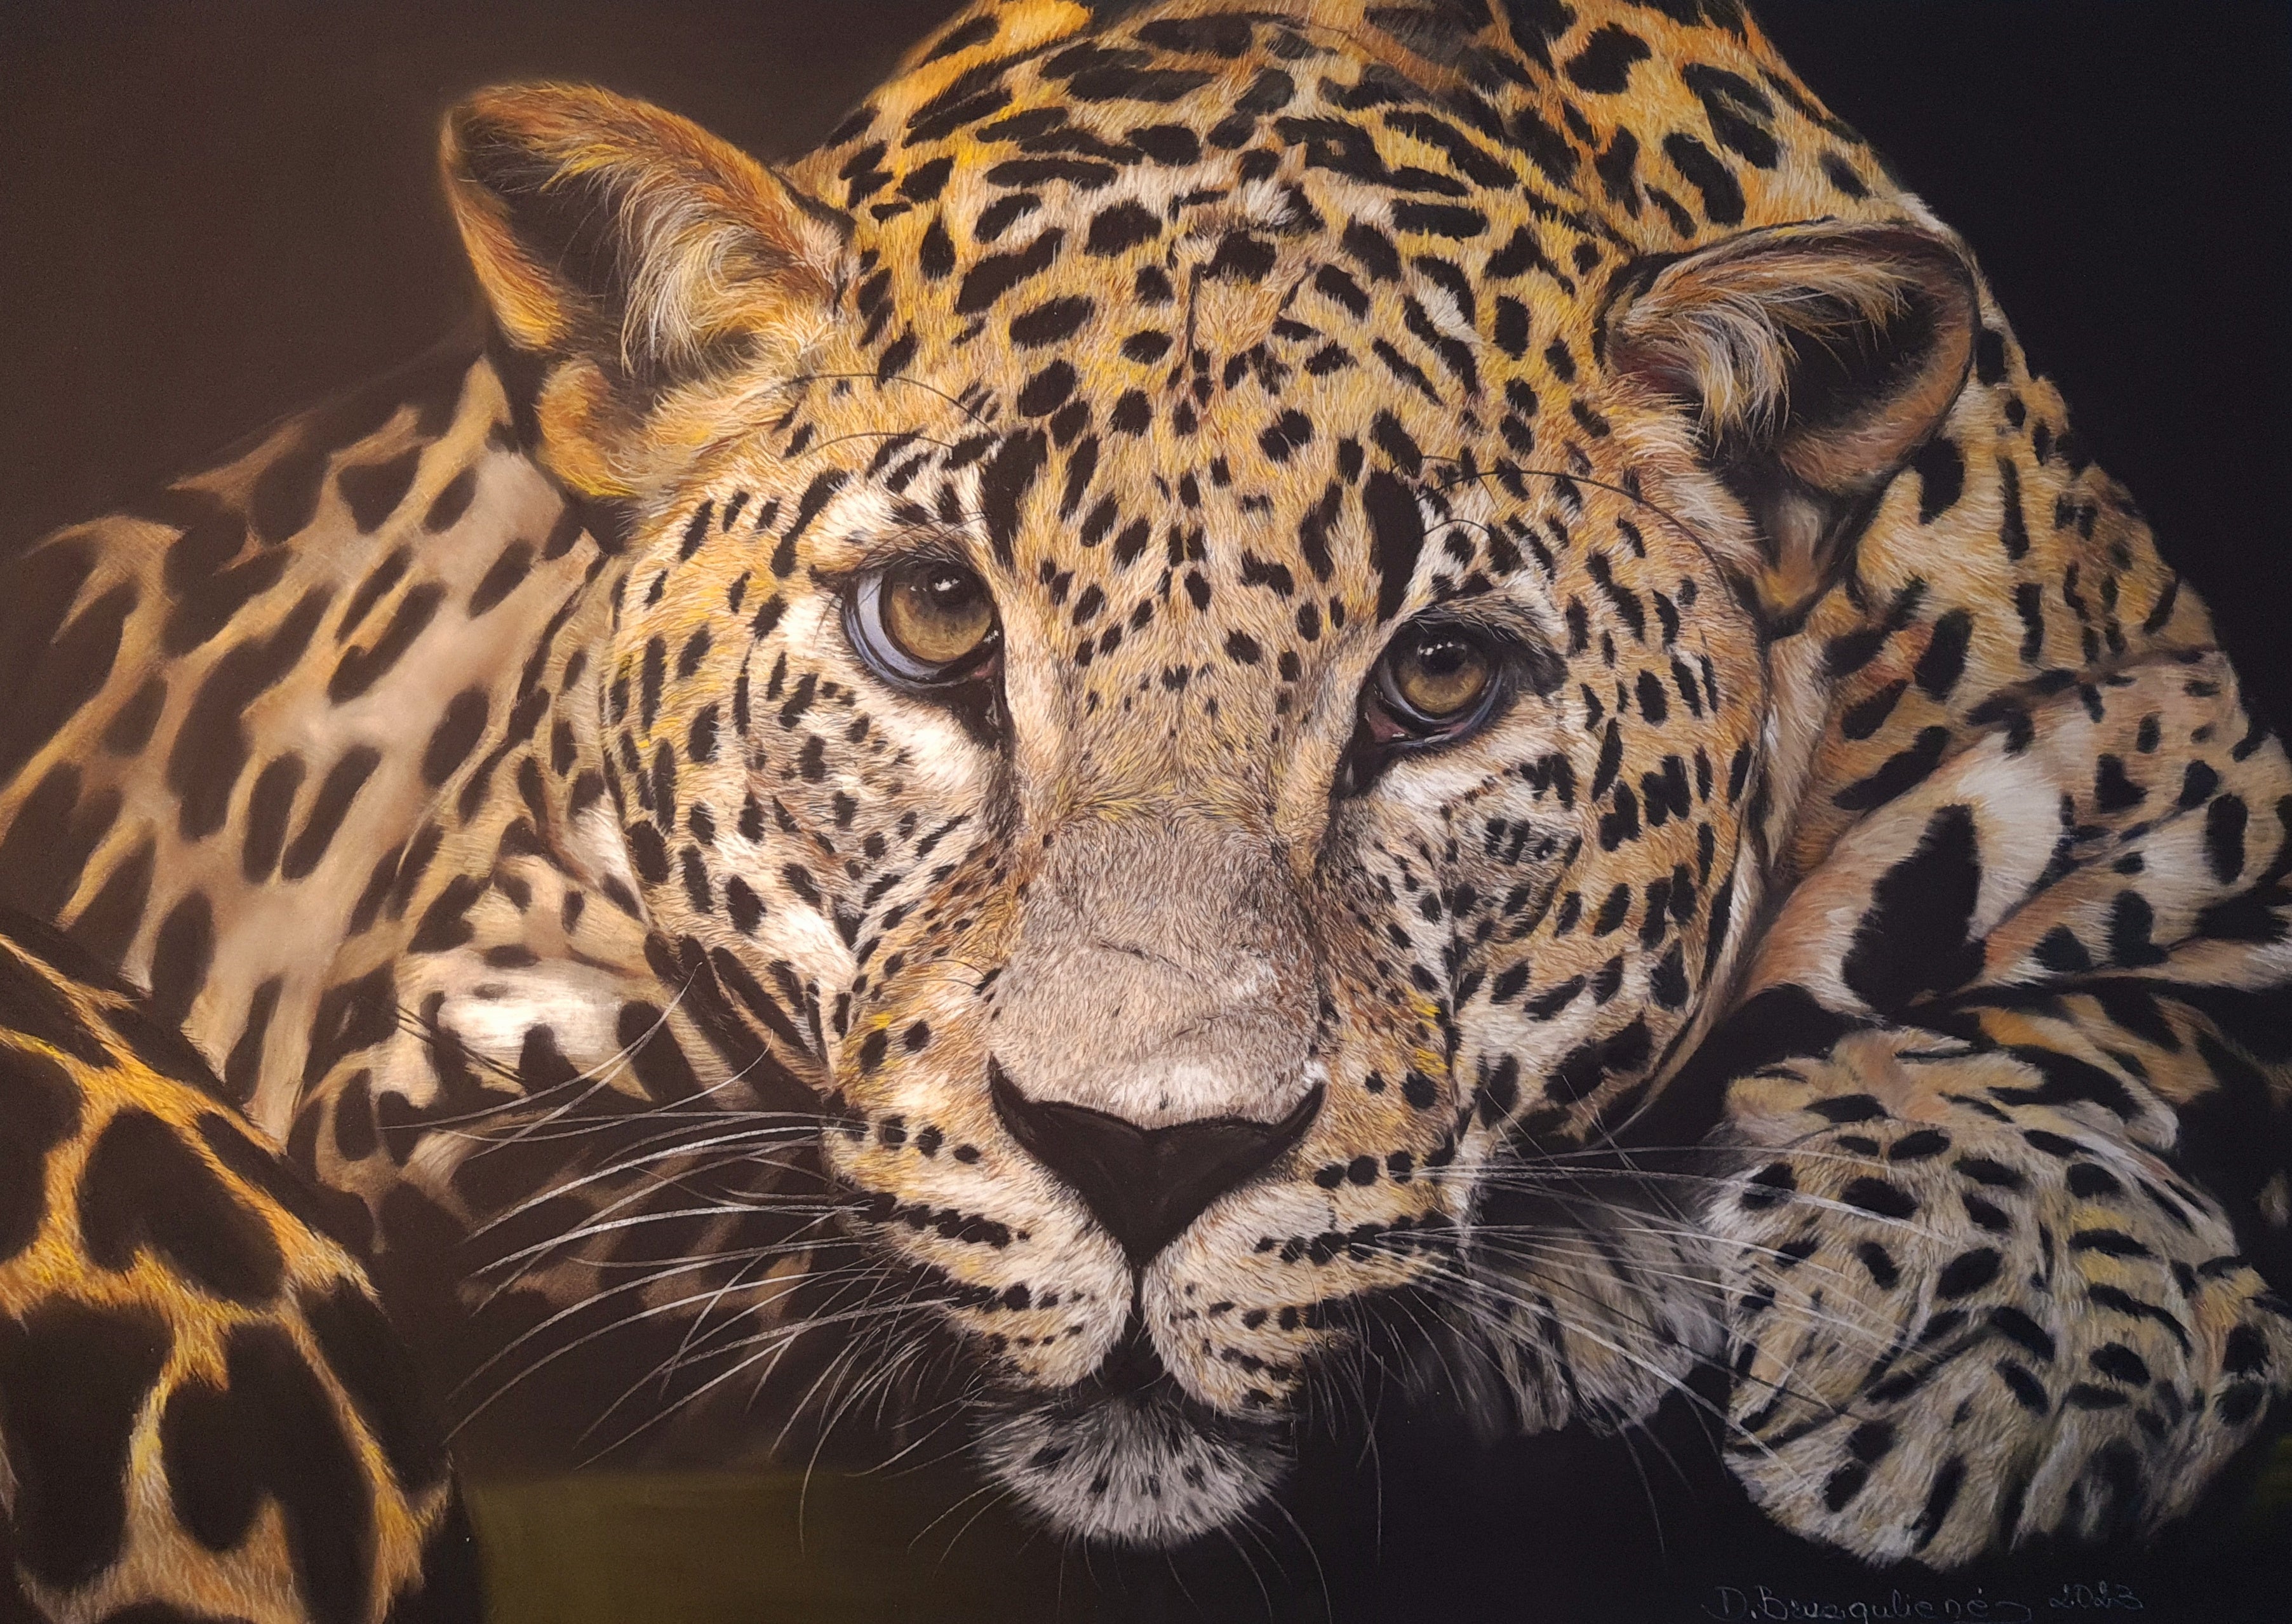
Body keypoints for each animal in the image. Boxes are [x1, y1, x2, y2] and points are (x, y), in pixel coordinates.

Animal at [1, 0, 2287, 1594]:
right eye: (932, 617)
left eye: (1439, 678)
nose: (1144, 1158)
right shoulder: (454, 1077)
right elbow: (782, 1230)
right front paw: (1595, 1290)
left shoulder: (2192, 766)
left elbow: (2130, 1027)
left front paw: (2002, 1334)